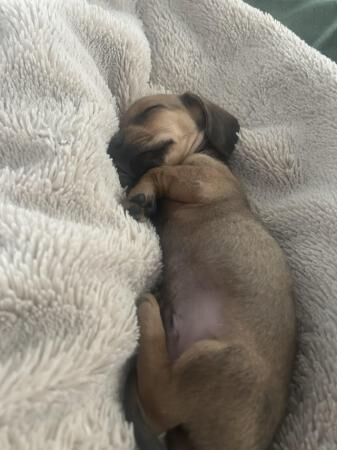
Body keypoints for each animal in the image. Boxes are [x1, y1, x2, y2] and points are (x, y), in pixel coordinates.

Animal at [109, 92, 296, 450]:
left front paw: (140, 193)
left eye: (151, 110)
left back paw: (149, 312)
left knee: (159, 404)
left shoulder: (200, 182)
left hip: (223, 360)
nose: (111, 146)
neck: (201, 154)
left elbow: (161, 170)